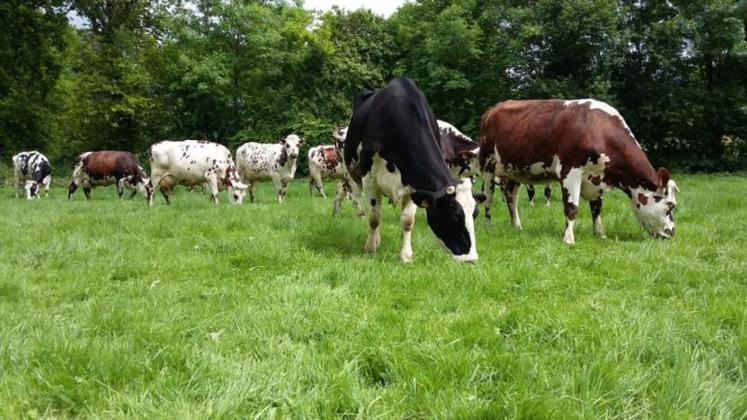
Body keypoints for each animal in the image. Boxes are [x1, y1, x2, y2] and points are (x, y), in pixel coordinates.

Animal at [344, 78, 480, 262]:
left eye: (475, 214)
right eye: (454, 215)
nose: (471, 259)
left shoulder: (414, 183)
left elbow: (408, 221)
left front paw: (406, 255)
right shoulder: (369, 179)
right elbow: (374, 217)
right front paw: (370, 248)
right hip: (352, 176)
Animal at [482, 98, 680, 243]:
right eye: (671, 205)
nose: (671, 234)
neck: (597, 130)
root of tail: (492, 110)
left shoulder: (598, 178)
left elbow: (597, 209)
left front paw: (600, 233)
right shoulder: (570, 172)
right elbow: (572, 208)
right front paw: (568, 238)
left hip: (514, 171)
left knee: (511, 197)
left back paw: (517, 226)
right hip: (487, 165)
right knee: (488, 197)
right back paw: (488, 225)